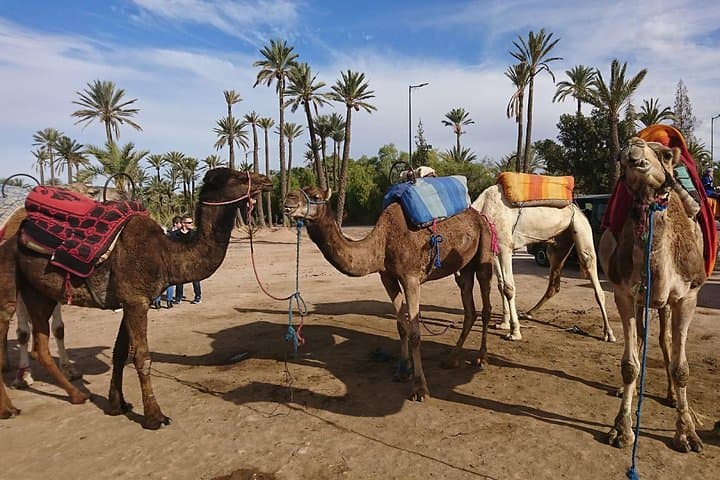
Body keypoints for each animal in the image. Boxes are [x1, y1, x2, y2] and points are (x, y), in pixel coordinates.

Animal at [0, 168, 273, 429]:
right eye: (239, 177)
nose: (266, 180)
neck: (166, 255)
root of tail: (14, 231)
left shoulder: (129, 301)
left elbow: (120, 353)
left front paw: (116, 405)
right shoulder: (136, 301)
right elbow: (142, 357)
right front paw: (154, 417)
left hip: (39, 293)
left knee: (41, 346)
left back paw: (76, 395)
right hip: (11, 279)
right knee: (8, 319)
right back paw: (9, 408)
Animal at [283, 187, 493, 401]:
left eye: (316, 196)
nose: (288, 200)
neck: (383, 243)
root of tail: (480, 216)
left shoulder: (411, 278)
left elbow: (415, 333)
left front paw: (419, 388)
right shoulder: (387, 277)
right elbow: (401, 326)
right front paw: (403, 371)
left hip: (485, 248)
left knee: (486, 304)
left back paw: (481, 358)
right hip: (464, 266)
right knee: (469, 307)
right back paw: (451, 359)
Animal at [470, 185, 615, 342]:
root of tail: (578, 209)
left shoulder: (504, 246)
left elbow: (508, 288)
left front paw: (514, 332)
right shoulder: (494, 248)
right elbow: (501, 285)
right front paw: (503, 324)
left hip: (580, 228)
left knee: (591, 270)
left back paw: (609, 333)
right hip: (557, 245)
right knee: (554, 283)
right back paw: (528, 313)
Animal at [599, 138, 707, 453]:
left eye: (666, 154)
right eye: (620, 157)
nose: (633, 149)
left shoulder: (688, 296)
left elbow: (681, 368)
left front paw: (687, 434)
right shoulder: (624, 294)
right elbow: (629, 365)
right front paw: (621, 430)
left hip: (666, 303)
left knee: (665, 339)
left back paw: (673, 397)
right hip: (644, 301)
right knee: (645, 338)